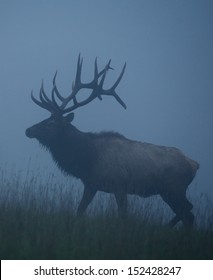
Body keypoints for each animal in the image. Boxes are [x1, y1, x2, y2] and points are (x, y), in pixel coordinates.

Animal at [25, 55, 199, 228]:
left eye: (51, 123)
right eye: (46, 118)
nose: (28, 130)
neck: (87, 159)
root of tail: (194, 164)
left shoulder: (119, 185)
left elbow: (122, 215)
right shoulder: (92, 184)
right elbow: (80, 210)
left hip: (174, 188)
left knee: (188, 213)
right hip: (169, 191)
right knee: (188, 212)